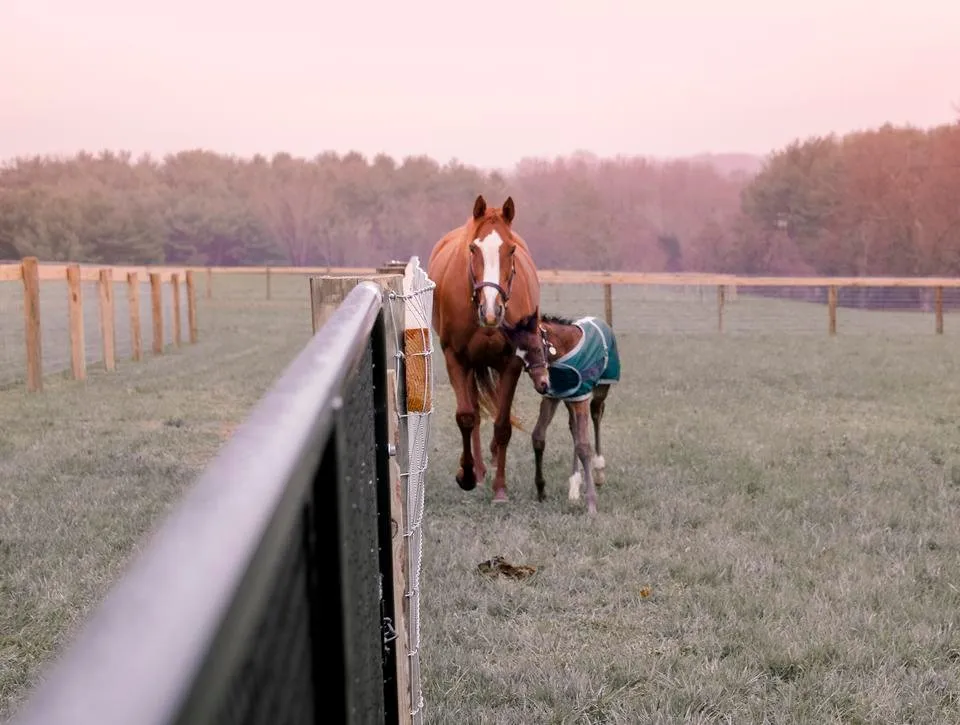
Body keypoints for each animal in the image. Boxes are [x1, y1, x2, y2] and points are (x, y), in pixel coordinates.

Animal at [428, 195, 540, 500]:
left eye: (510, 249)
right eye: (473, 248)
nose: (492, 310)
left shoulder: (511, 363)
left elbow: (502, 425)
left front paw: (500, 489)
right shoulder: (456, 359)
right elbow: (467, 417)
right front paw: (467, 475)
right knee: (476, 413)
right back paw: (477, 469)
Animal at [498, 312, 620, 516]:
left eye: (537, 348)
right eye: (521, 359)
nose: (541, 385)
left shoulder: (581, 395)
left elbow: (584, 446)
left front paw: (592, 504)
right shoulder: (553, 396)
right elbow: (538, 436)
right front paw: (541, 491)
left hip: (601, 388)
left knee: (597, 414)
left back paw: (599, 470)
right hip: (570, 398)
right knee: (574, 427)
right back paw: (574, 485)